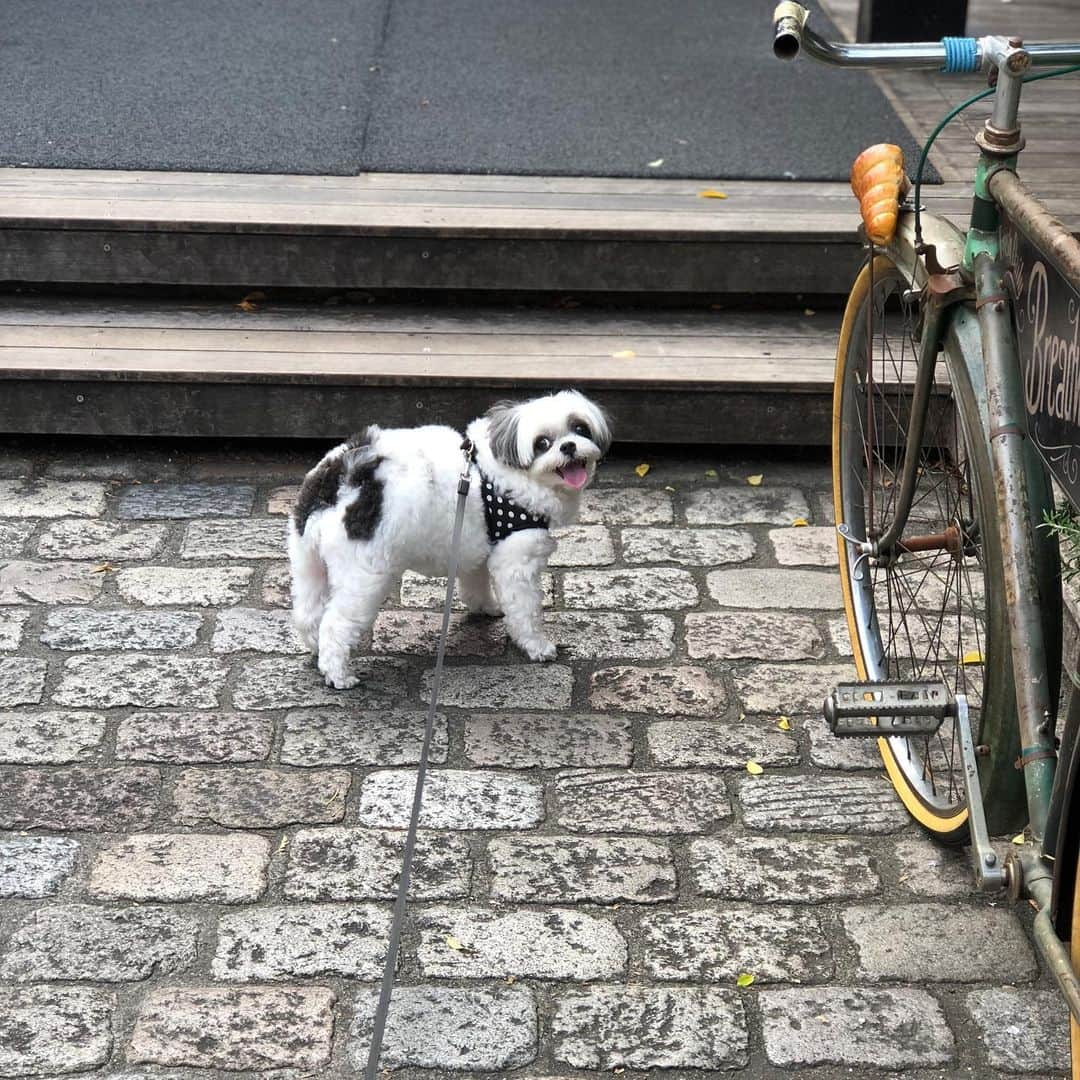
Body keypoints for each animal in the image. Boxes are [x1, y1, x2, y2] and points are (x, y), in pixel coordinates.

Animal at [287, 393, 613, 686]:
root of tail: (343, 474)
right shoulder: (517, 560)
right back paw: (338, 674)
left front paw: (486, 607)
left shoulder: (475, 546)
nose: (569, 446)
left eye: (580, 428)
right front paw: (537, 646)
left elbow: (476, 583)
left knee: (308, 612)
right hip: (364, 575)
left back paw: (315, 648)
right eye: (542, 443)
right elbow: (525, 610)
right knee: (335, 623)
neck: (508, 469)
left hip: (308, 561)